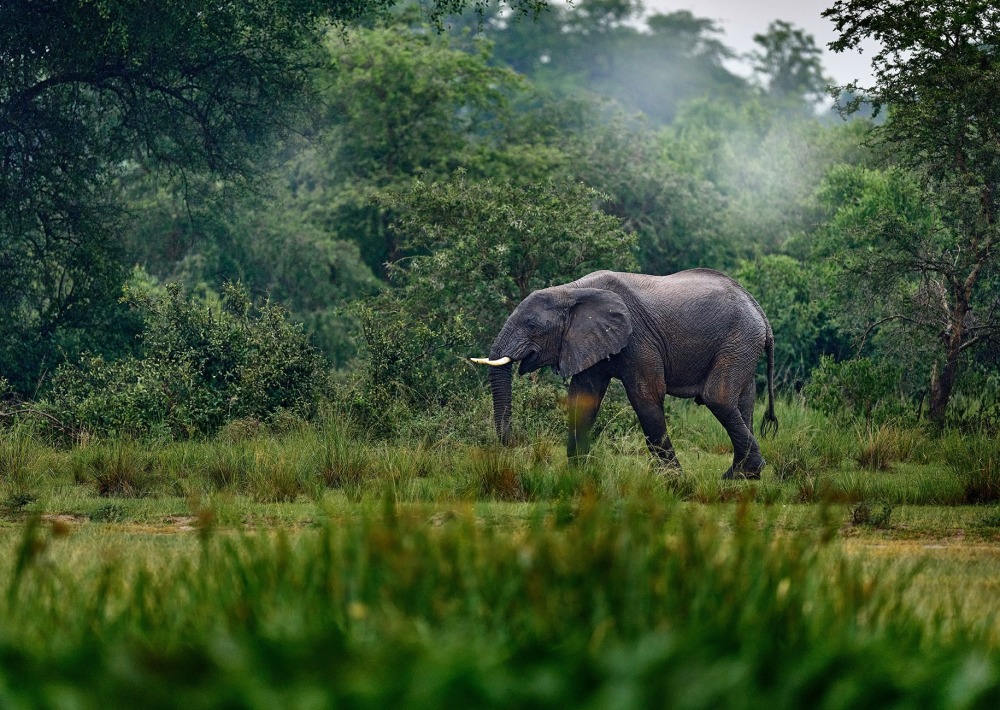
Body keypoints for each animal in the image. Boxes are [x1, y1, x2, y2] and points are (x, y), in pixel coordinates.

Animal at [470, 270, 780, 482]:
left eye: (532, 325)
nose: (512, 443)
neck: (570, 291)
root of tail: (759, 311)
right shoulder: (589, 339)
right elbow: (583, 398)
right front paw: (577, 476)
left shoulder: (638, 339)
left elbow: (646, 396)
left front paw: (674, 480)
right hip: (743, 344)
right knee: (743, 401)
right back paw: (741, 475)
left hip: (738, 339)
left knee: (718, 397)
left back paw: (744, 473)